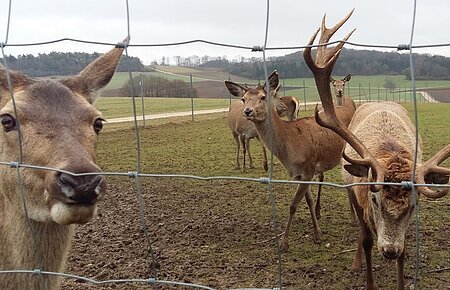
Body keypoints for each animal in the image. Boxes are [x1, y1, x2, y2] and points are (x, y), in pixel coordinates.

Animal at [224, 36, 356, 250]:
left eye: (263, 97)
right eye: (243, 99)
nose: (248, 111)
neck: (290, 147)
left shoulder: (308, 168)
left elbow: (293, 205)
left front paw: (284, 242)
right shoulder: (297, 173)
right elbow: (307, 201)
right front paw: (317, 234)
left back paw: (353, 218)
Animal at [302, 10, 450, 290]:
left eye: (414, 205)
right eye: (374, 199)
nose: (389, 250)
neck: (390, 153)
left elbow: (405, 251)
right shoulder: (358, 196)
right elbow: (366, 239)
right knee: (362, 234)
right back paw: (357, 262)